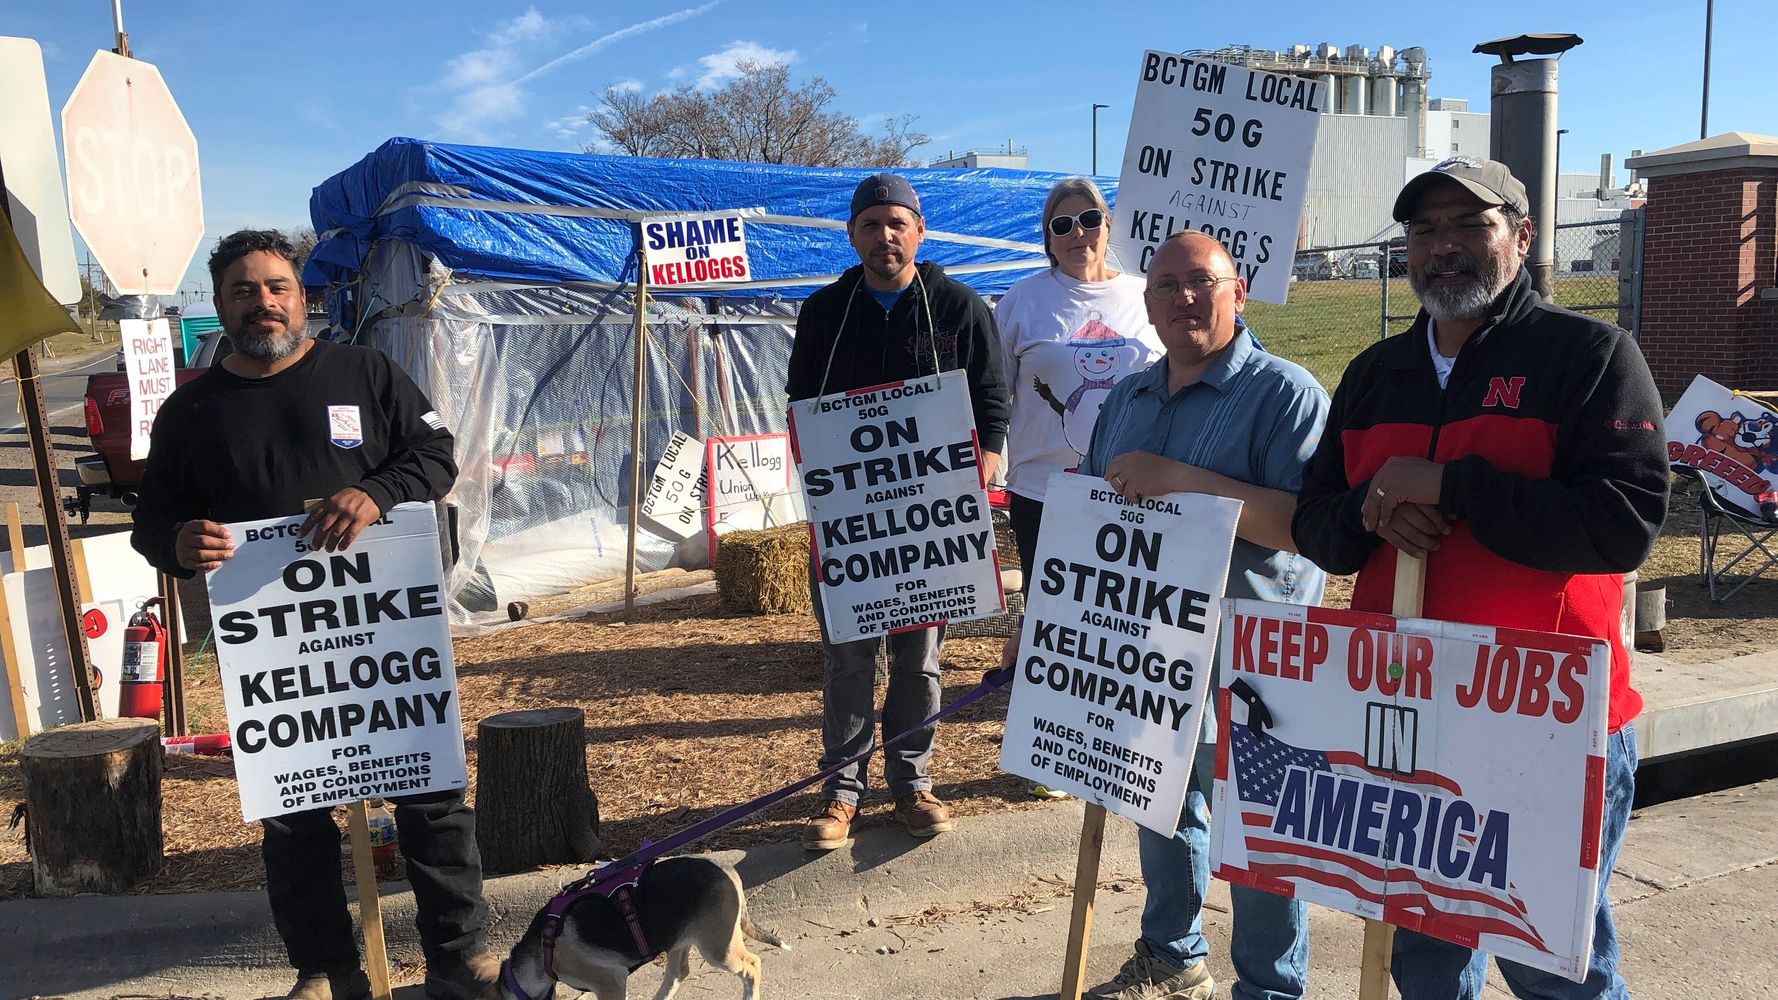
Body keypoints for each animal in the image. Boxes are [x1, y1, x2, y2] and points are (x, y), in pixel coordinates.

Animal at [490, 846, 789, 996]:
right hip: (678, 937)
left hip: (718, 946)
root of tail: (726, 868)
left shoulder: (610, 981)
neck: (543, 949)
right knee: (677, 975)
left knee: (752, 966)